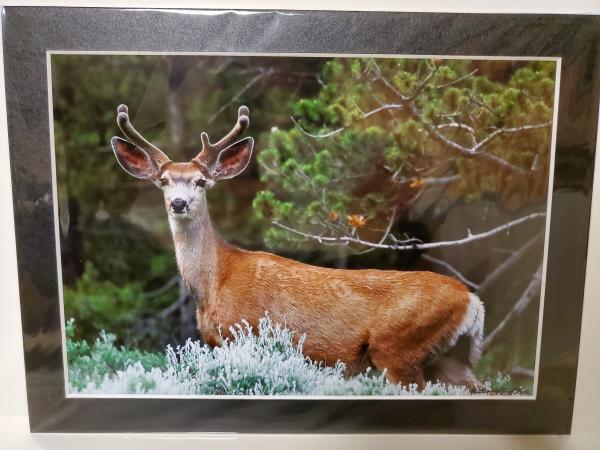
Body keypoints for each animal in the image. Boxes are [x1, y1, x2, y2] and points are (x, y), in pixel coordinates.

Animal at [112, 104, 486, 390]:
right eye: (163, 180)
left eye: (201, 181)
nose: (178, 203)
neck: (214, 281)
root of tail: (472, 301)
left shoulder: (241, 334)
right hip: (447, 359)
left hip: (396, 348)